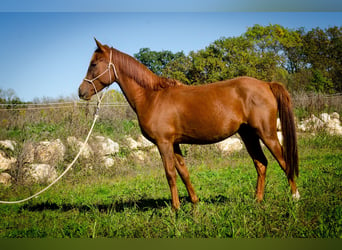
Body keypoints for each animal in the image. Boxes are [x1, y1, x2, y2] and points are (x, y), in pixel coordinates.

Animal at [78, 39, 300, 210]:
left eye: (94, 64)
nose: (81, 92)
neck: (152, 97)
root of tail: (266, 85)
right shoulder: (174, 143)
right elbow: (183, 172)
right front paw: (194, 203)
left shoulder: (164, 143)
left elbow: (170, 174)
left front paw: (175, 209)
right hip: (248, 134)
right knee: (261, 164)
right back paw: (258, 200)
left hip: (266, 133)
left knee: (284, 161)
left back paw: (295, 197)